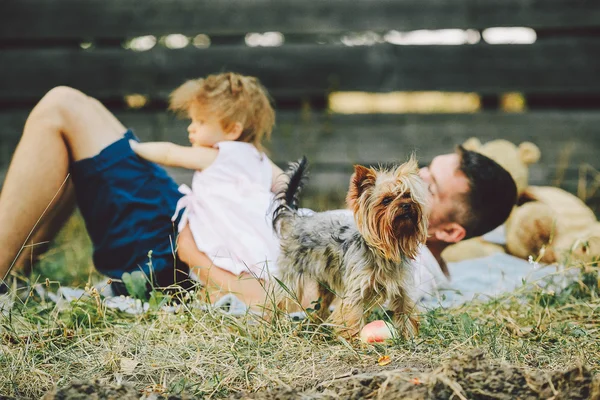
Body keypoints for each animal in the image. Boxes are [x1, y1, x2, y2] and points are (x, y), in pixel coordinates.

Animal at [272, 155, 426, 338]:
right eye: (386, 200)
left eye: (408, 195)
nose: (407, 205)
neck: (386, 249)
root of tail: (296, 219)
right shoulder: (356, 292)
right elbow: (353, 317)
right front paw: (355, 340)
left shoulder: (403, 289)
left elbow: (406, 312)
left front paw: (409, 338)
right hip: (291, 276)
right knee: (282, 300)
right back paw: (279, 325)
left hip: (326, 281)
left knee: (321, 305)